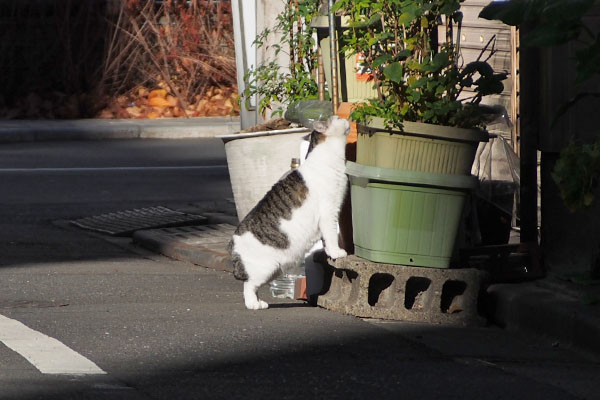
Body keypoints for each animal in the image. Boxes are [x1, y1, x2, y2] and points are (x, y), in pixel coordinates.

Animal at [230, 115, 352, 310]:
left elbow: (327, 238)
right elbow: (332, 235)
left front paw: (329, 251)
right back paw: (254, 305)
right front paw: (336, 252)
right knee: (248, 285)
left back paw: (259, 301)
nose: (345, 118)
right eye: (338, 118)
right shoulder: (329, 212)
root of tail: (234, 241)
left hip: (275, 269)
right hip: (266, 268)